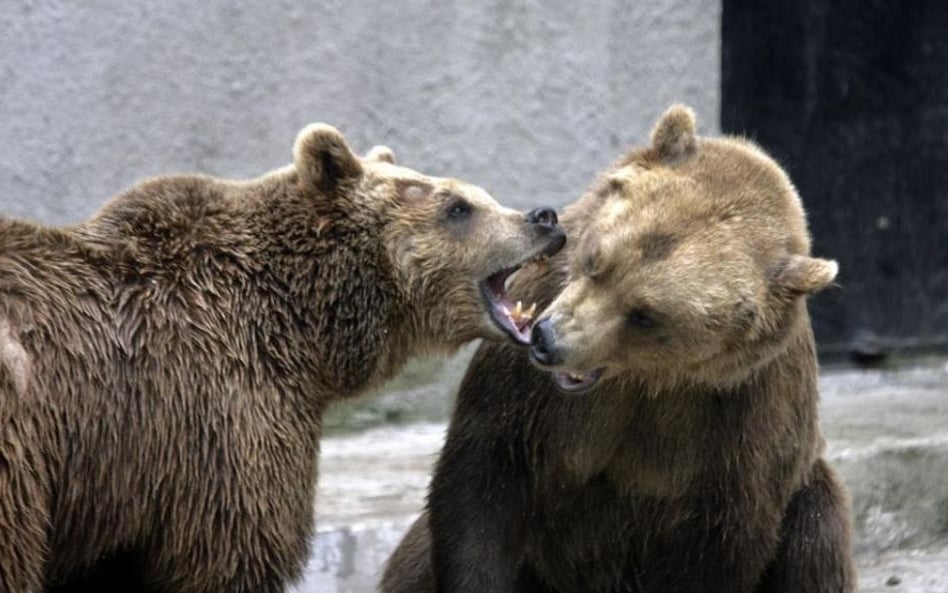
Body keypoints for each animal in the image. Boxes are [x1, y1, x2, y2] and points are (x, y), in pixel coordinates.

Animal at [0, 122, 564, 588]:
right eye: (457, 206)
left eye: (477, 195)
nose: (544, 217)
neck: (301, 324)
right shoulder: (218, 417)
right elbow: (233, 551)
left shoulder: (117, 486)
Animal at [382, 106, 856, 592]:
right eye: (596, 259)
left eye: (645, 314)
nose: (548, 339)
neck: (649, 381)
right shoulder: (529, 392)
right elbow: (484, 477)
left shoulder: (741, 415)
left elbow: (723, 539)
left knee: (818, 529)